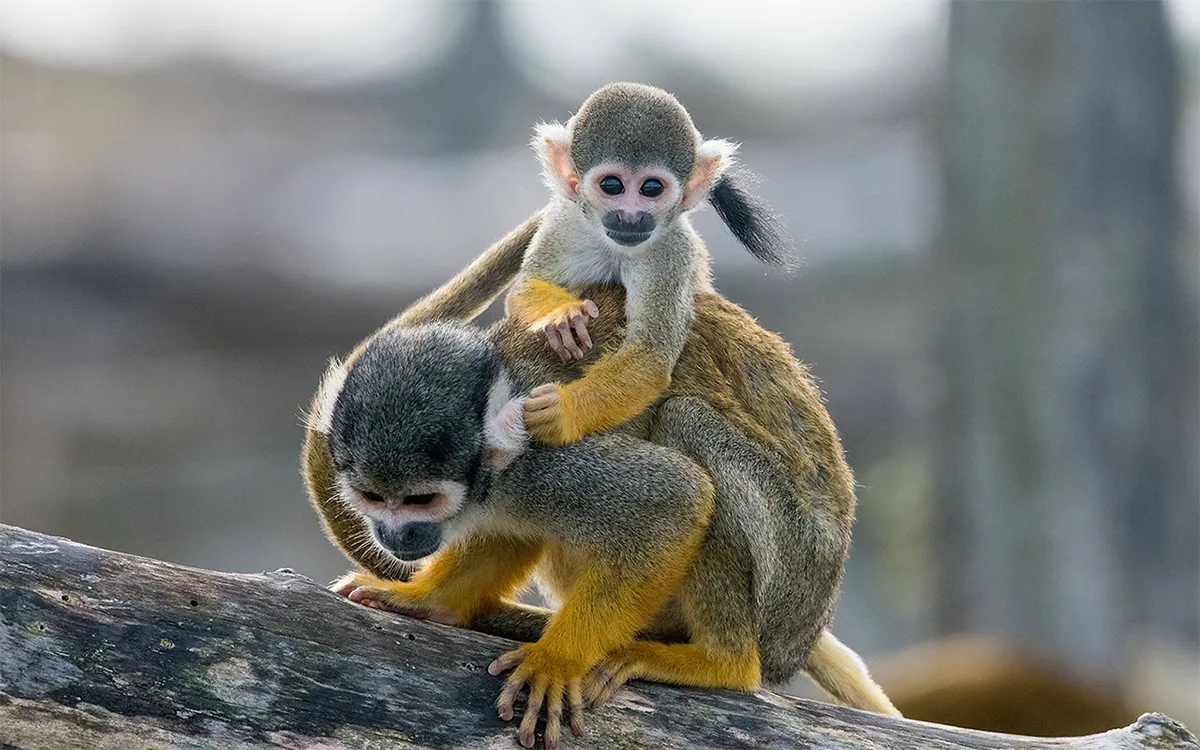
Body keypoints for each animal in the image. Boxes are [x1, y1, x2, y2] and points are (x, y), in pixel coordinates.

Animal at [304, 285, 897, 748]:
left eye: (420, 500)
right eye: (372, 497)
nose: (392, 535)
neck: (495, 470)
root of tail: (803, 635)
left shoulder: (543, 463)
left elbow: (674, 498)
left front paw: (558, 660)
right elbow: (508, 536)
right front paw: (427, 600)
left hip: (793, 574)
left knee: (685, 421)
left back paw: (721, 663)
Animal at [400, 81, 796, 444]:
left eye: (652, 189)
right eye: (612, 185)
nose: (630, 217)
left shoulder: (671, 251)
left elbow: (650, 356)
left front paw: (564, 412)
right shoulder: (565, 223)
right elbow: (522, 291)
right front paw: (560, 317)